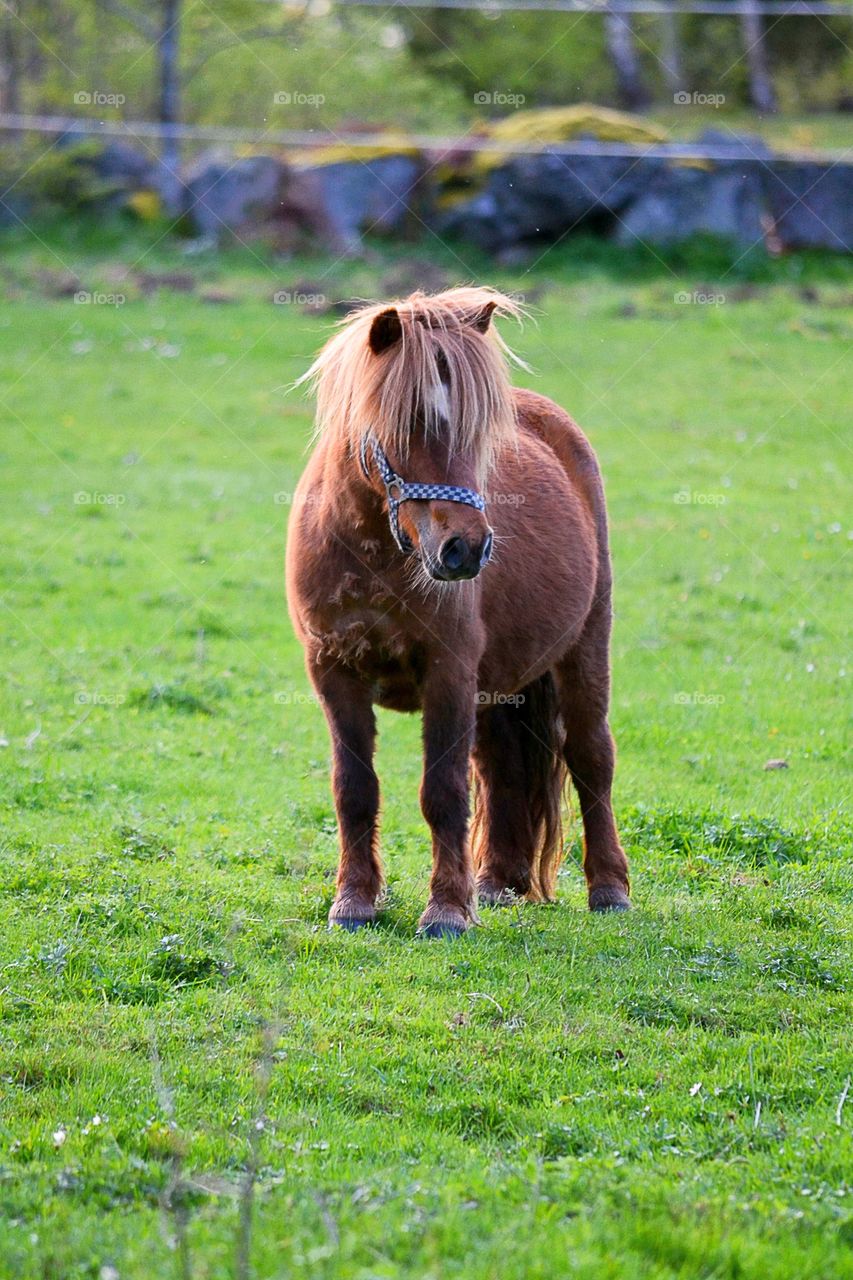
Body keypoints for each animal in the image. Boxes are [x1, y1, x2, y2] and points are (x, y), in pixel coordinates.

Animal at [285, 285, 625, 936]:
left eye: (478, 432)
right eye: (407, 424)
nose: (466, 549)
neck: (377, 552)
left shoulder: (448, 671)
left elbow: (442, 790)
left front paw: (445, 910)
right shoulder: (332, 671)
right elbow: (354, 789)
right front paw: (354, 901)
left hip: (585, 649)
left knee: (591, 756)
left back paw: (609, 890)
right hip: (496, 687)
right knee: (501, 766)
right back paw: (496, 884)